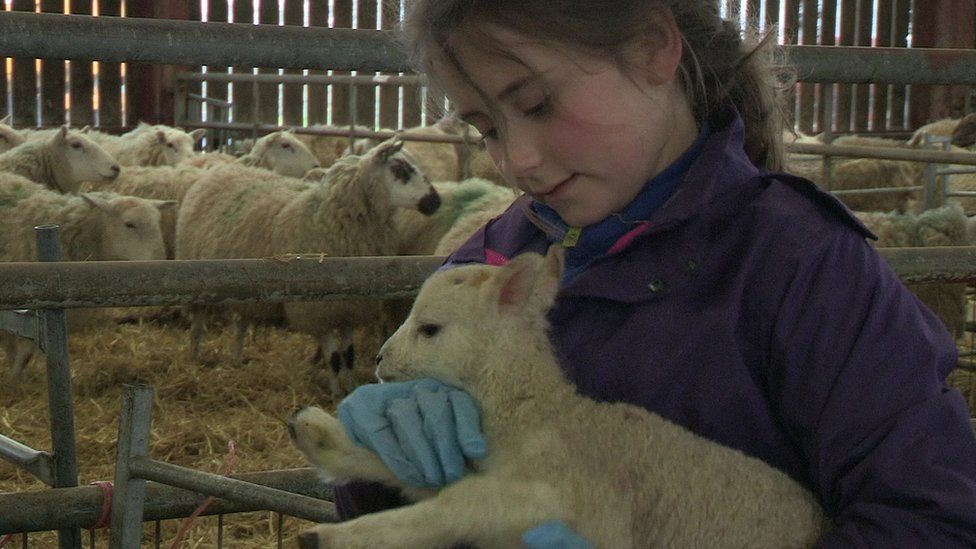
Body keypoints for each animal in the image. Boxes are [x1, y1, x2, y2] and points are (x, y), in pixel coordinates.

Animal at [176, 137, 442, 394]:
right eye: (400, 169)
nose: (435, 201)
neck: (330, 218)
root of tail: (224, 168)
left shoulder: (349, 308)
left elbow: (349, 355)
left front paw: (350, 386)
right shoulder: (317, 311)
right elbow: (334, 357)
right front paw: (335, 392)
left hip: (243, 288)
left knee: (241, 323)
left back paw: (236, 358)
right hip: (199, 283)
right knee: (197, 326)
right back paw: (193, 358)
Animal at [288, 247, 824, 548]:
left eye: (431, 328)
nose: (380, 359)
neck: (540, 417)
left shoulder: (568, 498)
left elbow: (458, 504)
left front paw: (329, 536)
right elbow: (417, 474)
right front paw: (322, 437)